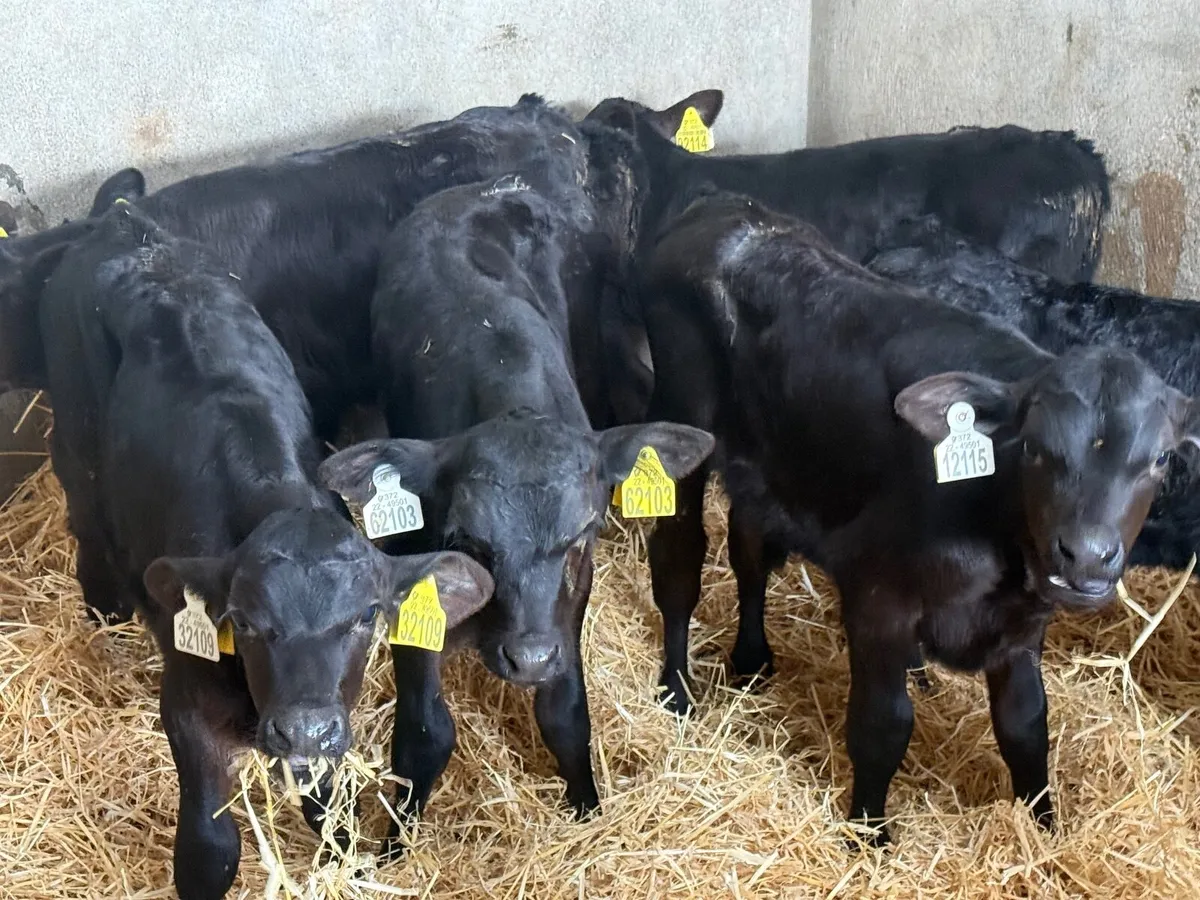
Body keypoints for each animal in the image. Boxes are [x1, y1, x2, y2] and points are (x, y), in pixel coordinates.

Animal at [38, 204, 493, 899]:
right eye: (245, 623)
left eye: (366, 617)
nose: (302, 728)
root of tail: (123, 223)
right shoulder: (187, 702)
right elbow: (209, 849)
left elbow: (331, 812)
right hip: (74, 442)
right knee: (85, 518)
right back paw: (103, 612)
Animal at [318, 152, 713, 842]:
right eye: (470, 541)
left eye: (581, 537)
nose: (528, 656)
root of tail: (488, 188)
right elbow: (425, 733)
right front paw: (394, 842)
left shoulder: (570, 601)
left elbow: (565, 712)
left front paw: (586, 808)